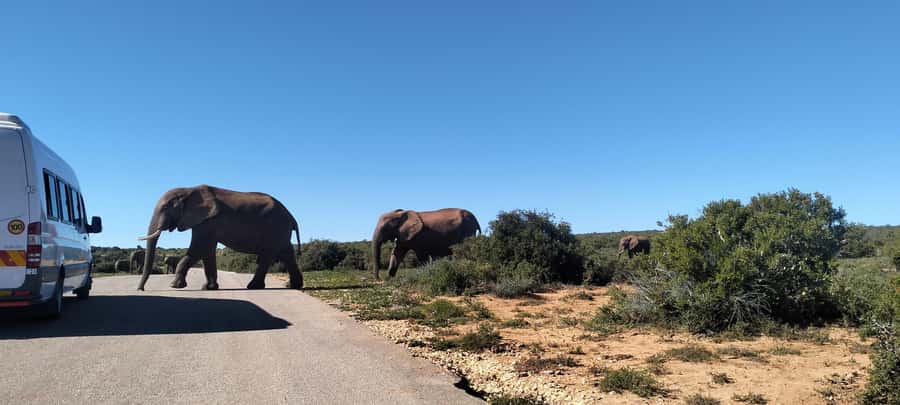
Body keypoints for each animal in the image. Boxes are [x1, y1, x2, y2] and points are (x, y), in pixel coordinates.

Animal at [136, 185, 303, 291]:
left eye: (165, 208)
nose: (140, 289)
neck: (188, 190)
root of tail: (291, 216)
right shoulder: (205, 222)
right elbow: (207, 252)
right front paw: (208, 288)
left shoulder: (207, 222)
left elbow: (198, 249)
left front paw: (175, 286)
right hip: (280, 231)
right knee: (287, 254)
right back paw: (293, 286)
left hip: (275, 229)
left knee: (268, 256)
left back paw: (253, 287)